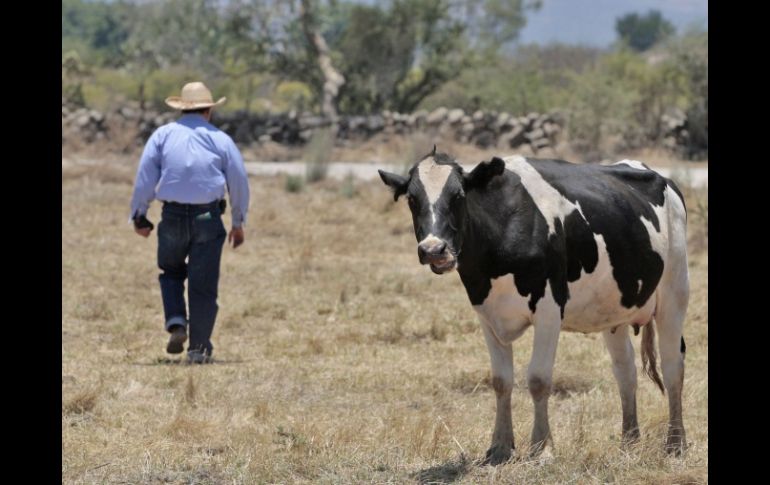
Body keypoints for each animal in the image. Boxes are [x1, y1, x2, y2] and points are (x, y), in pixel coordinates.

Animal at [376, 148, 688, 466]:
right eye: (412, 198)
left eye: (459, 195)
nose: (433, 250)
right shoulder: (486, 314)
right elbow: (501, 380)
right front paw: (500, 446)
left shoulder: (549, 308)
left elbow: (538, 379)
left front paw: (542, 447)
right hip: (615, 311)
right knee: (625, 370)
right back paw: (629, 442)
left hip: (674, 293)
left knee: (672, 365)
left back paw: (675, 443)